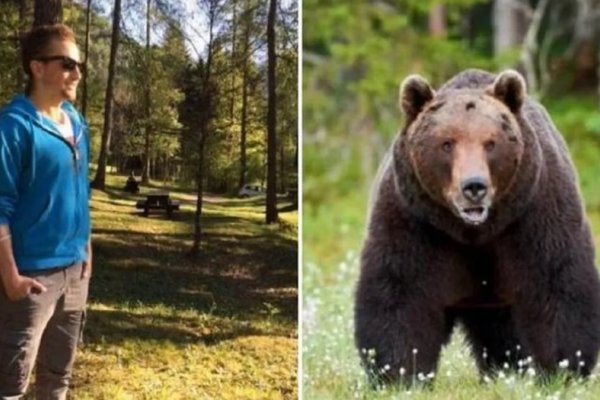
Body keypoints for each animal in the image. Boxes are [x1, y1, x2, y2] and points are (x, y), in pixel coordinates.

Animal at [354, 68, 600, 384]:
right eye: (447, 143)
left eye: (491, 143)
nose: (474, 186)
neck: (476, 230)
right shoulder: (414, 220)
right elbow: (401, 292)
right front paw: (399, 374)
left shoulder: (535, 213)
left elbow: (555, 281)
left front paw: (563, 369)